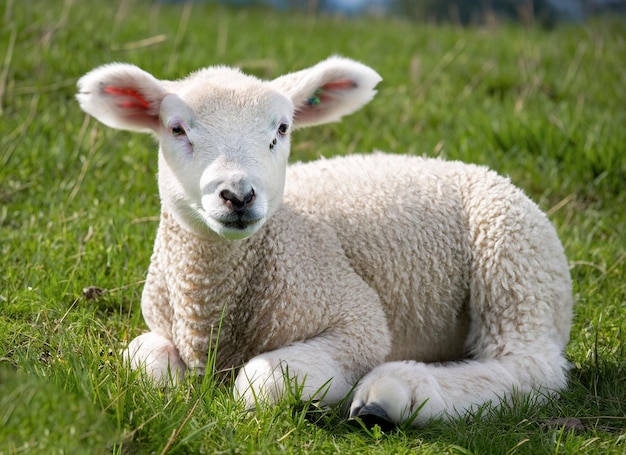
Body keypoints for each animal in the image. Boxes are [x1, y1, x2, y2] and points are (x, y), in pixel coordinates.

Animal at [74, 57, 572, 428]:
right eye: (176, 129)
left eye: (281, 130)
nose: (238, 195)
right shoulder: (160, 321)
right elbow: (145, 361)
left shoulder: (356, 318)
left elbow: (260, 385)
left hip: (513, 261)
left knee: (530, 369)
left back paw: (393, 393)